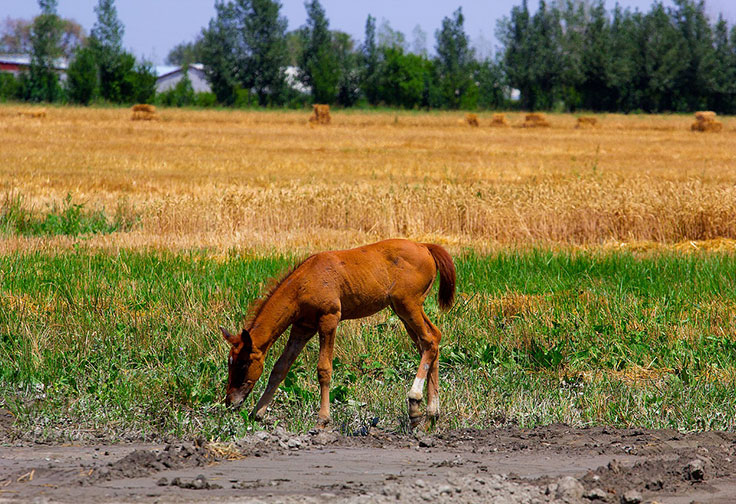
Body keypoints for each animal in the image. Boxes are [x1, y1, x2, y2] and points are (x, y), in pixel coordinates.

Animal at [221, 238, 458, 428]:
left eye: (243, 364)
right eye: (230, 363)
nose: (229, 401)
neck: (304, 282)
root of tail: (424, 246)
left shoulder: (329, 318)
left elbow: (324, 369)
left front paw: (323, 418)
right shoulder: (302, 327)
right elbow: (280, 368)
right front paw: (257, 413)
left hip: (408, 305)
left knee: (429, 340)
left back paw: (415, 400)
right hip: (403, 311)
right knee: (431, 341)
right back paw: (430, 413)